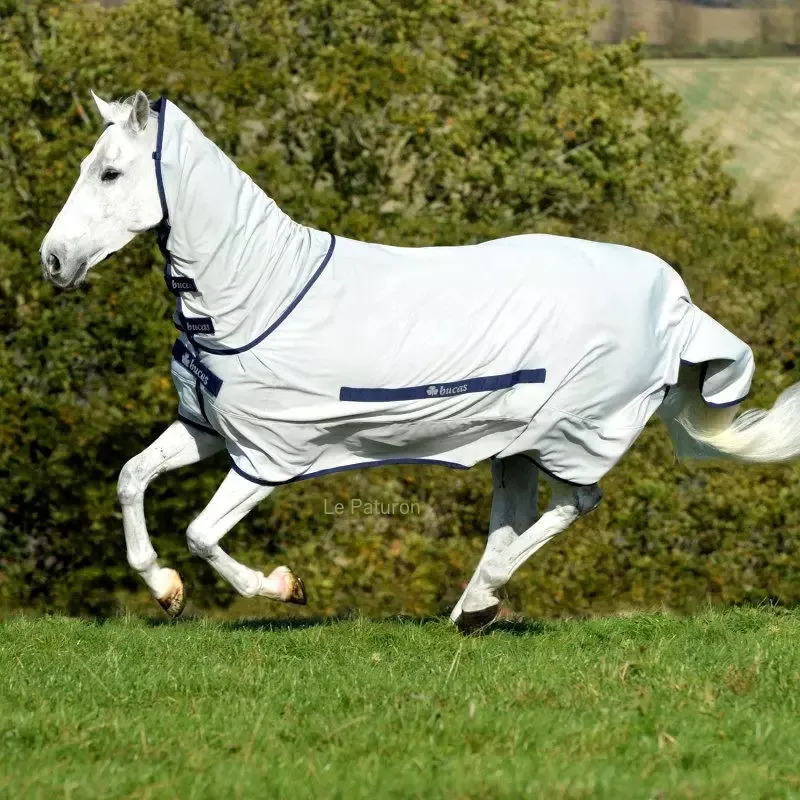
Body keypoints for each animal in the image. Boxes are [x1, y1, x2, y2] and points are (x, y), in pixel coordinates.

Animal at [40, 90, 800, 633]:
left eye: (110, 172)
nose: (52, 261)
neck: (256, 294)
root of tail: (676, 302)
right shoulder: (207, 428)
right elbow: (131, 478)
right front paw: (165, 591)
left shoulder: (272, 452)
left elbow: (200, 533)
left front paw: (283, 587)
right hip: (515, 443)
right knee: (516, 518)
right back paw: (473, 608)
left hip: (572, 431)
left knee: (577, 501)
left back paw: (480, 601)